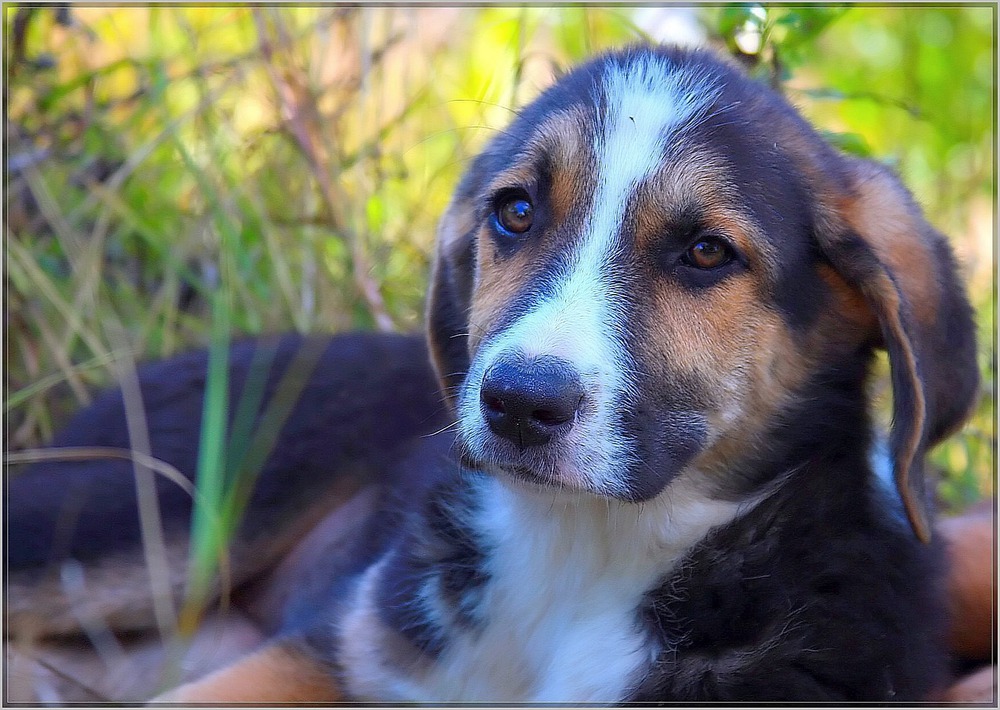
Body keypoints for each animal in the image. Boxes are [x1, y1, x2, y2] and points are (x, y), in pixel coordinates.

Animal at [7, 46, 984, 708]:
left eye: (707, 253)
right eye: (515, 212)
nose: (518, 403)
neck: (582, 556)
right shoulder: (332, 652)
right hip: (135, 525)